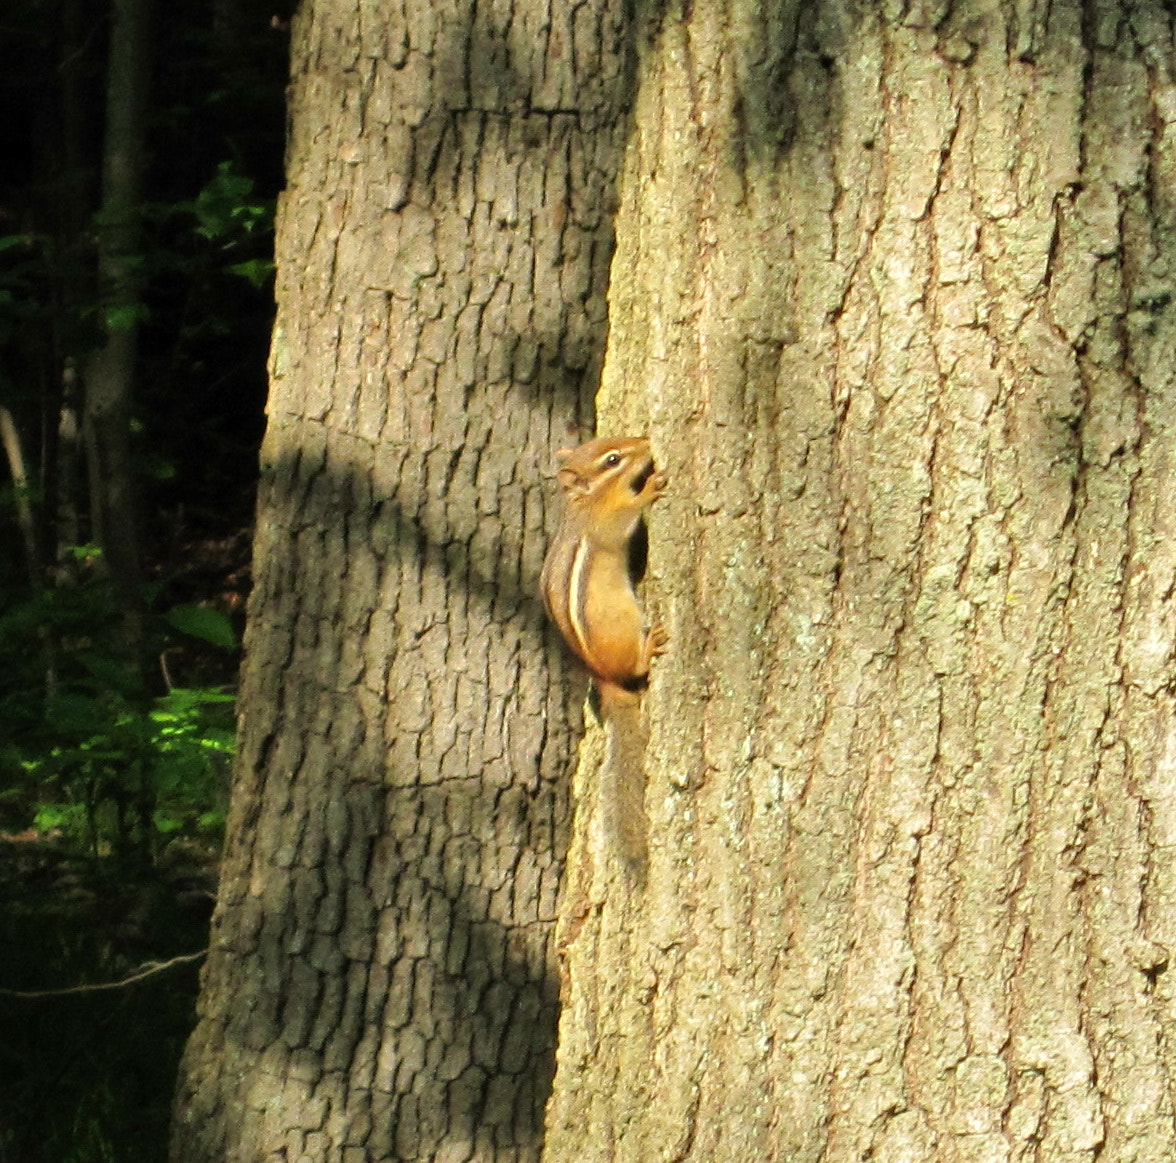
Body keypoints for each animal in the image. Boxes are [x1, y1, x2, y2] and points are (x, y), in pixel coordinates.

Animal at [540, 435, 667, 879]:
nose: (646, 441)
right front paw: (648, 490)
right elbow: (629, 516)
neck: (585, 504)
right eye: (612, 460)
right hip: (626, 625)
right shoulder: (608, 525)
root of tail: (604, 679)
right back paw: (649, 649)